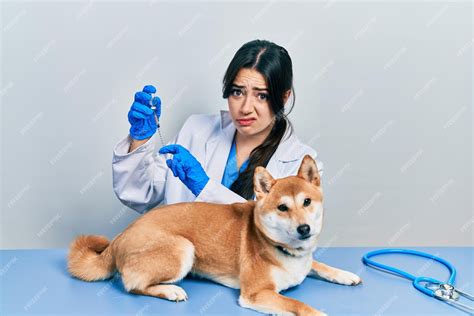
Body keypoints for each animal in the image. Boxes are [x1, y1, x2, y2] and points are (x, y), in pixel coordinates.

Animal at [68, 154, 362, 314]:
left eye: (307, 202)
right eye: (282, 207)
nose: (304, 229)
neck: (284, 250)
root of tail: (119, 237)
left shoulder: (305, 261)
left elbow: (320, 265)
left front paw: (345, 274)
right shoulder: (256, 293)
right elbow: (299, 305)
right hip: (183, 248)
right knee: (132, 285)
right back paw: (169, 291)